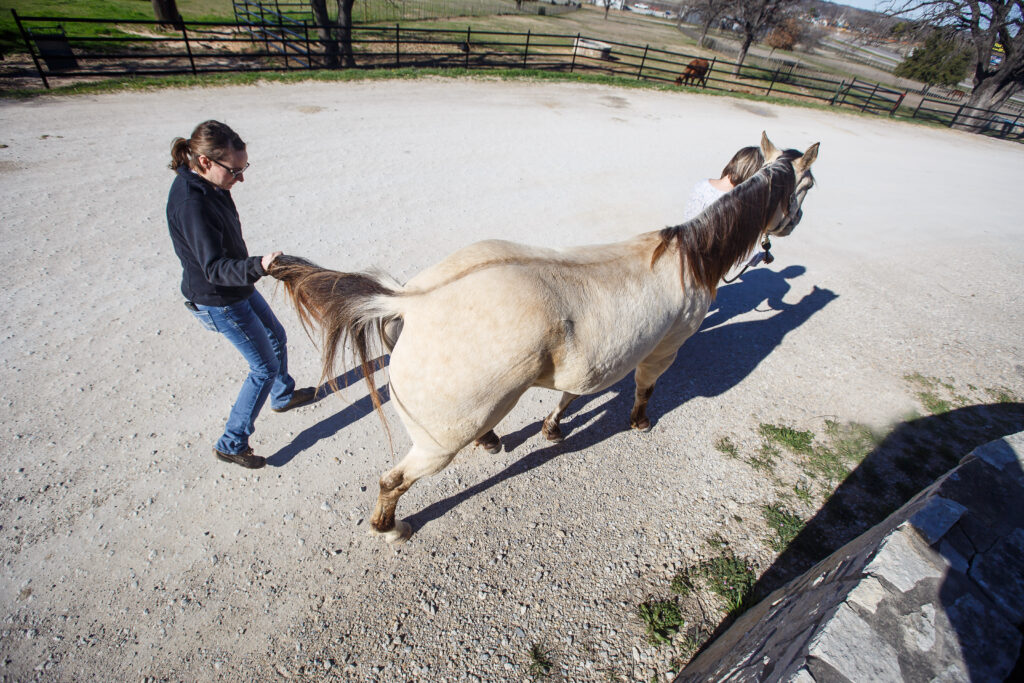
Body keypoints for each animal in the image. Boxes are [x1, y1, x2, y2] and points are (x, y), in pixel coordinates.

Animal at [268, 132, 819, 543]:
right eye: (808, 183)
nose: (794, 224)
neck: (689, 258)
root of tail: (411, 301)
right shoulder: (663, 350)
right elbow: (645, 389)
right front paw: (640, 423)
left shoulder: (602, 356)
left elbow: (573, 393)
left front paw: (554, 427)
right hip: (436, 445)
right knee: (393, 480)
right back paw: (390, 527)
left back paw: (490, 441)